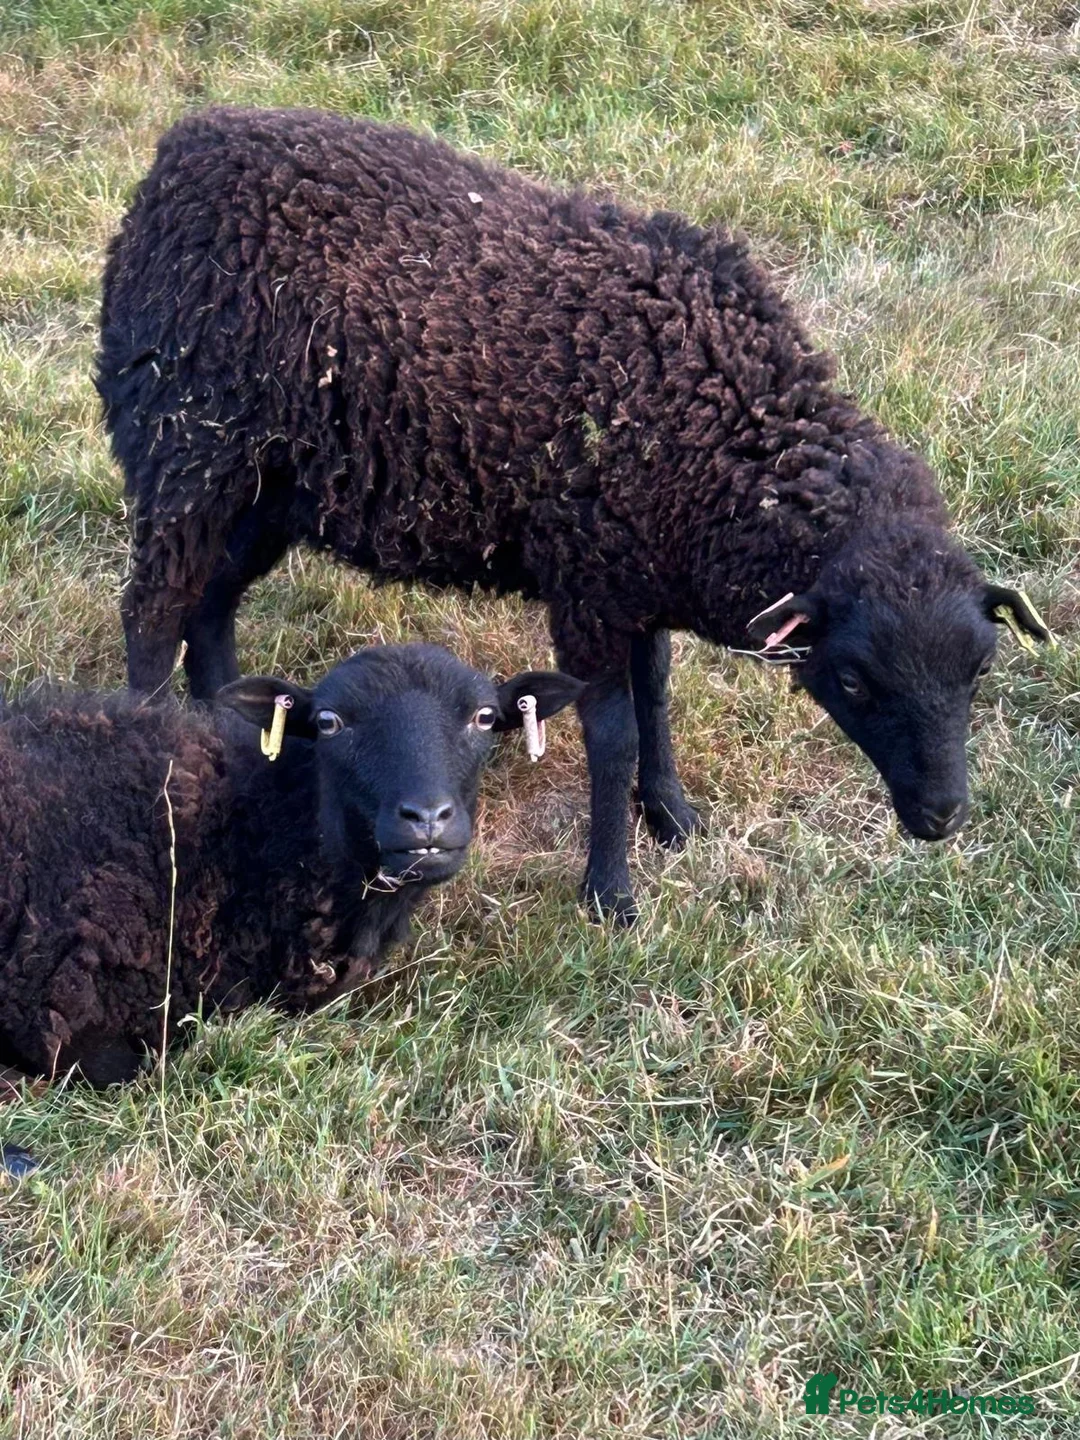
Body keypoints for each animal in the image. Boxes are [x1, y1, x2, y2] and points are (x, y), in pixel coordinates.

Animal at [96, 105, 1050, 924]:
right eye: (851, 679)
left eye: (979, 670)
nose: (942, 817)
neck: (724, 426)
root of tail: (182, 147)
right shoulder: (591, 590)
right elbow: (612, 736)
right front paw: (611, 892)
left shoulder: (640, 579)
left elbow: (657, 696)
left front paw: (672, 817)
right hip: (187, 451)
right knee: (153, 610)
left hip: (267, 488)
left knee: (210, 605)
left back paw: (227, 738)